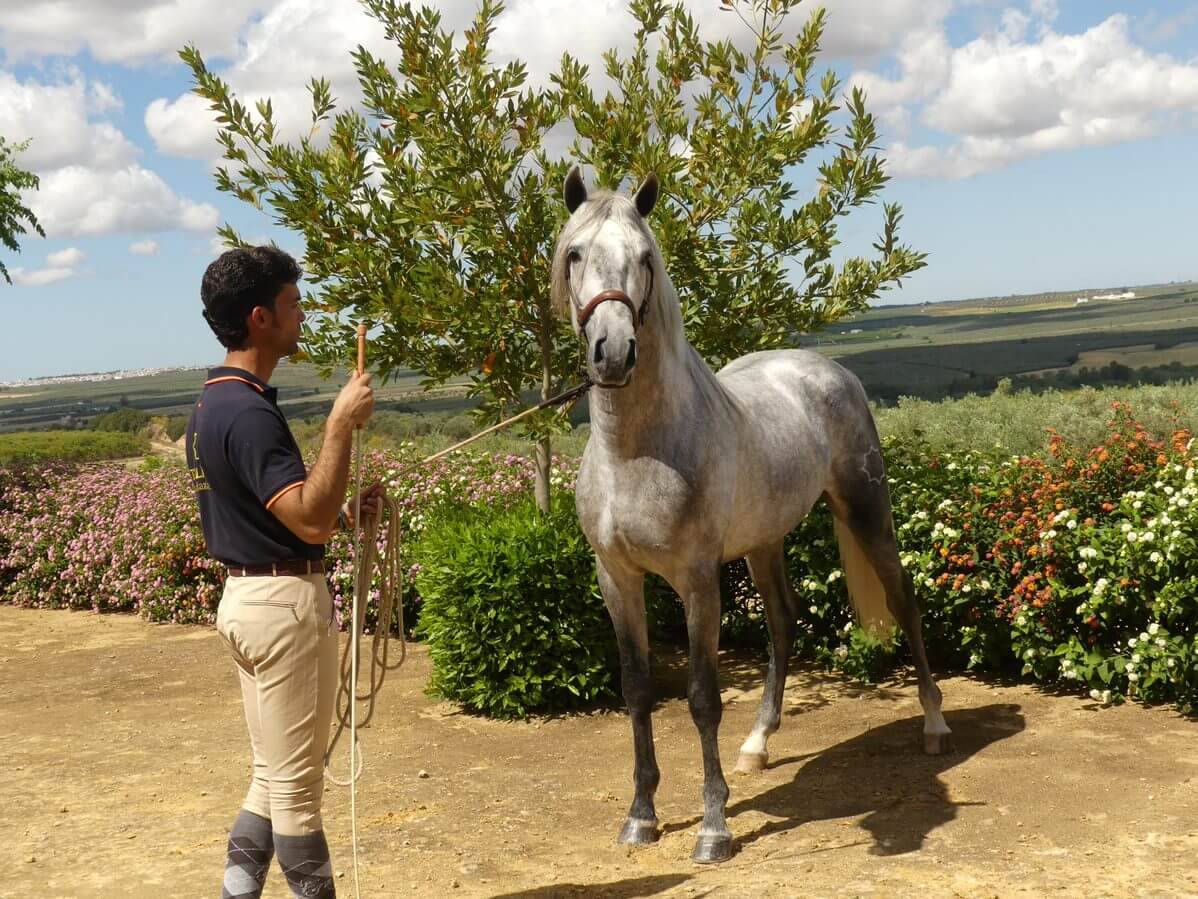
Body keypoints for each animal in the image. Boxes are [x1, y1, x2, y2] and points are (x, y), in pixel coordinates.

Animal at [551, 166, 951, 864]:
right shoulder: (616, 579)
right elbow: (636, 689)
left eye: (645, 258)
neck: (636, 452)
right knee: (785, 623)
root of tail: (825, 369)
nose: (613, 352)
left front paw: (713, 829)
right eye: (575, 254)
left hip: (867, 511)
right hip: (765, 543)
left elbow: (702, 698)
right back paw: (757, 745)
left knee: (903, 601)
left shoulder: (698, 580)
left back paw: (934, 723)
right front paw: (641, 816)